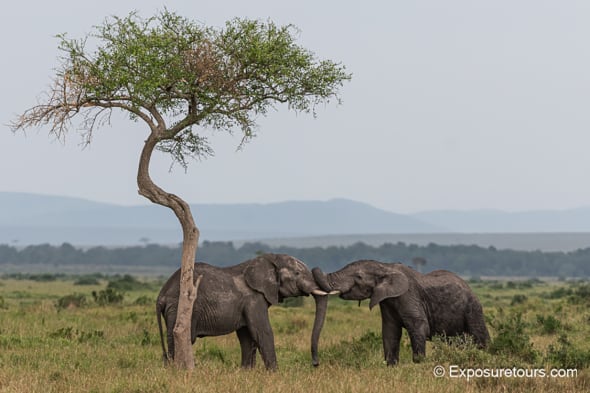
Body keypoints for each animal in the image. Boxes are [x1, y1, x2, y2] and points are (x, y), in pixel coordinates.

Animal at [157, 253, 330, 370]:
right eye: (297, 274)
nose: (315, 364)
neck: (269, 259)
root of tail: (161, 295)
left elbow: (247, 336)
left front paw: (247, 372)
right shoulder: (253, 299)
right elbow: (263, 332)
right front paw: (274, 374)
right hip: (180, 307)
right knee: (181, 337)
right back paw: (176, 370)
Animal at [314, 260, 490, 364]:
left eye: (359, 276)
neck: (385, 267)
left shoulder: (408, 295)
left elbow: (419, 327)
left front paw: (419, 365)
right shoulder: (387, 301)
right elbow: (390, 331)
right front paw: (391, 366)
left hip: (473, 308)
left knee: (480, 336)